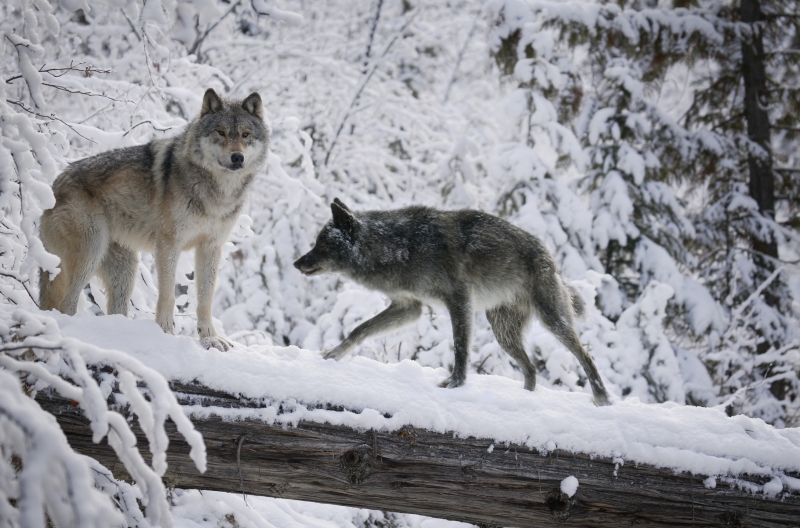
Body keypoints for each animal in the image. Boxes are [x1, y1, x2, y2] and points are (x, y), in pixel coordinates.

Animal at [39, 89, 270, 350]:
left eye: (245, 134)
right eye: (220, 132)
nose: (237, 157)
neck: (217, 192)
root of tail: (52, 187)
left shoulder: (211, 247)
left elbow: (205, 299)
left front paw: (210, 338)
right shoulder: (168, 244)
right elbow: (168, 294)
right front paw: (166, 332)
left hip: (125, 269)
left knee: (114, 309)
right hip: (91, 251)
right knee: (66, 304)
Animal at [294, 200, 612, 406]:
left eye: (322, 244)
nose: (297, 263)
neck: (399, 246)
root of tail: (550, 257)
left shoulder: (458, 299)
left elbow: (460, 348)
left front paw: (455, 384)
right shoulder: (409, 308)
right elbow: (358, 329)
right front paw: (333, 354)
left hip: (551, 321)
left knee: (585, 355)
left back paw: (602, 397)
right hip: (504, 335)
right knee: (532, 370)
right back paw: (526, 399)